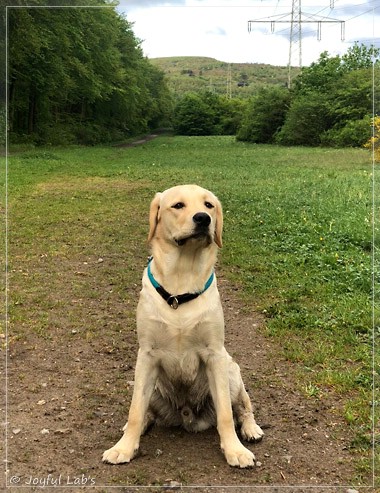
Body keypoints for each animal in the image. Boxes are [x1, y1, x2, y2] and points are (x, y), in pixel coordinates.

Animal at [103, 184, 264, 466]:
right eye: (178, 205)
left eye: (209, 205)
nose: (203, 219)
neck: (181, 282)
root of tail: (188, 415)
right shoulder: (147, 356)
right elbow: (135, 410)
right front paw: (124, 447)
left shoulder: (215, 355)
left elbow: (225, 414)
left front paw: (235, 450)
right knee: (146, 411)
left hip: (232, 371)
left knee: (243, 406)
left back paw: (250, 428)